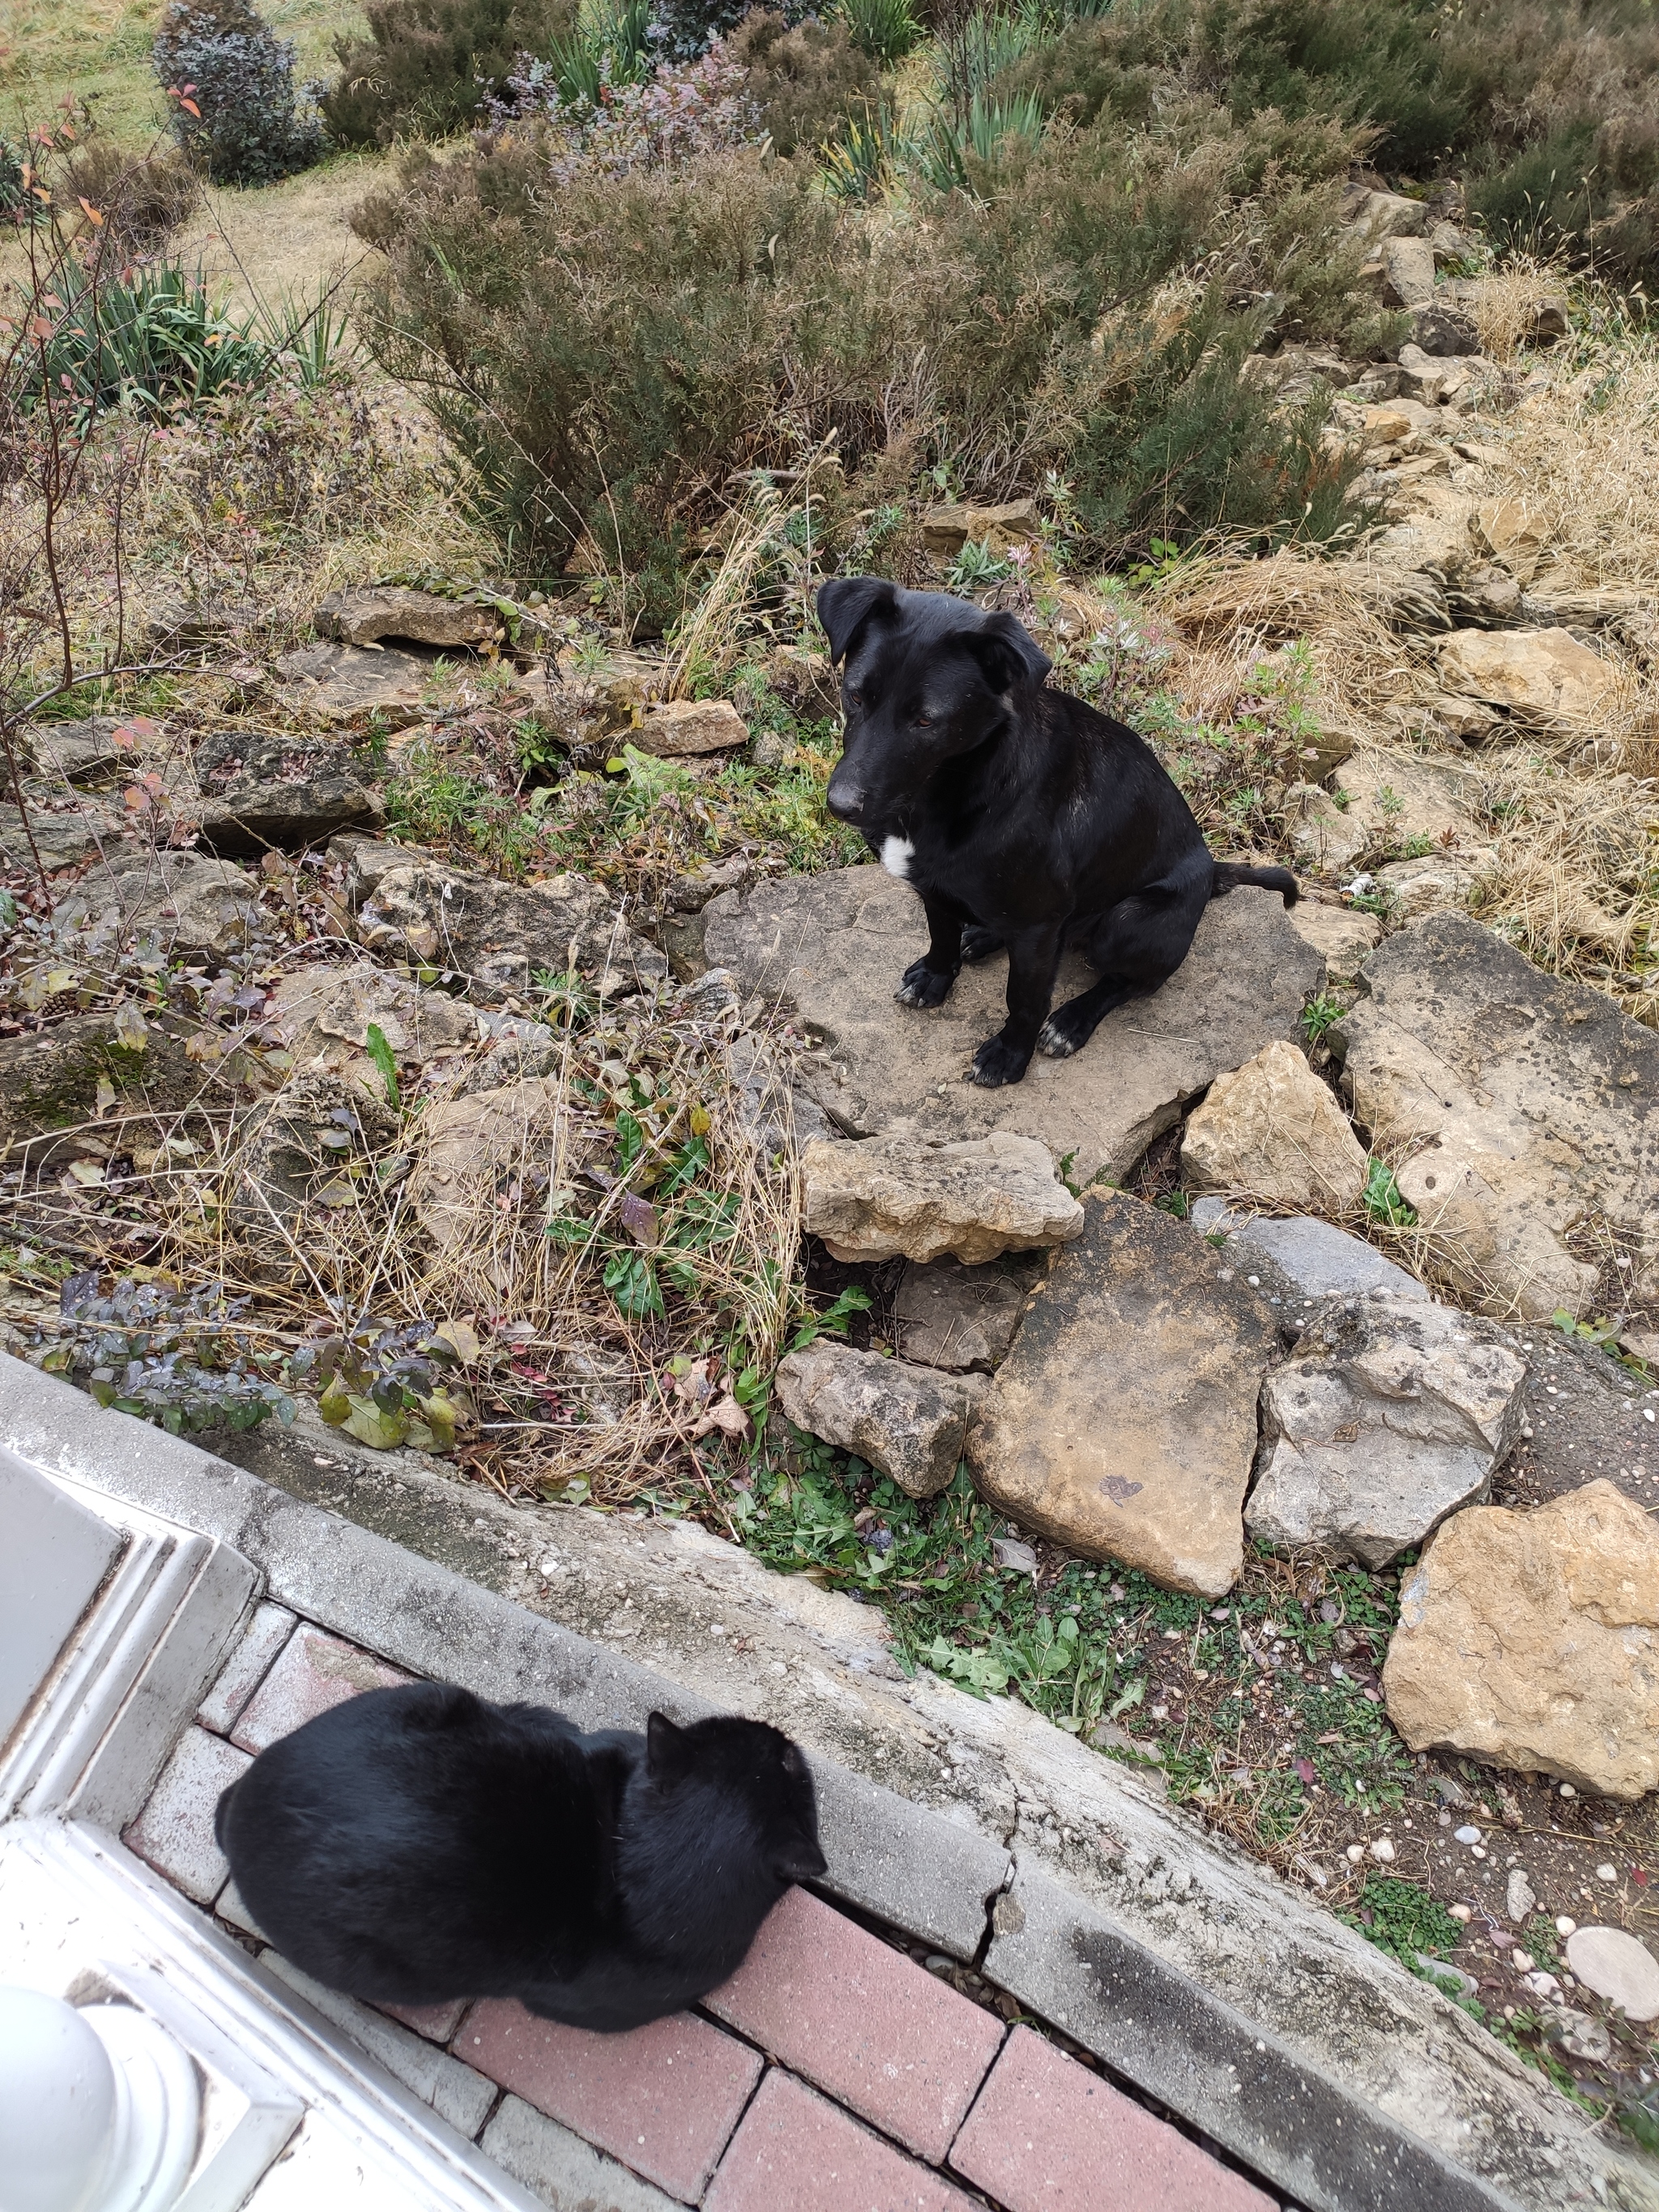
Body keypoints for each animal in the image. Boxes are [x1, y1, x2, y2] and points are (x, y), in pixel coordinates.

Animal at [818, 575, 1300, 1084]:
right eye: (855, 695)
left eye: (927, 720)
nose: (841, 806)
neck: (956, 791)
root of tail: (1210, 869)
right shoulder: (935, 888)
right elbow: (942, 934)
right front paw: (935, 977)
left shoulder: (1039, 925)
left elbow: (1025, 999)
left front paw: (1010, 1054)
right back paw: (983, 936)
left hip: (1127, 922)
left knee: (1130, 982)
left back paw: (1072, 1020)